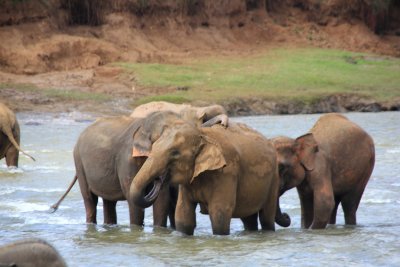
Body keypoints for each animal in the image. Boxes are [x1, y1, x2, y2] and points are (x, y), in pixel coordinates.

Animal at [128, 115, 278, 237]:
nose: (158, 179)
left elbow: (219, 215)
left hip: (273, 180)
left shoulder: (227, 172)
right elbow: (183, 216)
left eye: (175, 153)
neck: (203, 135)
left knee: (266, 217)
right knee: (249, 219)